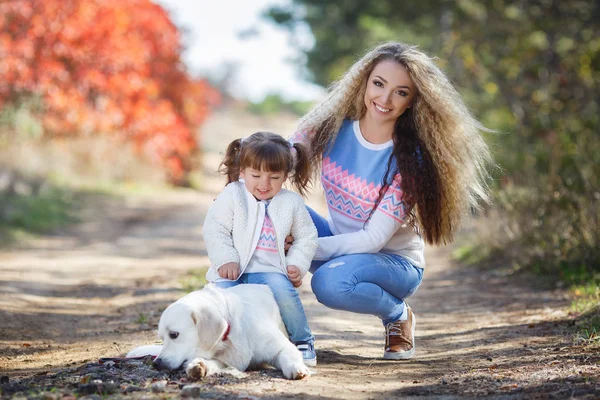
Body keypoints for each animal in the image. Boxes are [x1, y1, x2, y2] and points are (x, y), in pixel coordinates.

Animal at [126, 282, 310, 380]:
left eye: (174, 335)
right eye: (162, 338)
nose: (156, 363)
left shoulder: (281, 346)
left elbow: (288, 355)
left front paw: (296, 367)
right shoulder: (225, 359)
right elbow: (212, 363)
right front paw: (197, 366)